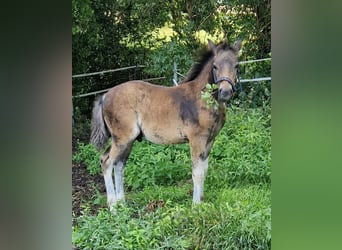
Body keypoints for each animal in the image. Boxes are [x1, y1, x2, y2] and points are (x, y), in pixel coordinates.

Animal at [89, 39, 242, 210]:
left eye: (237, 65)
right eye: (215, 66)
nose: (225, 92)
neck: (203, 98)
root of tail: (105, 96)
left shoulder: (210, 140)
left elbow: (204, 169)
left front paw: (201, 201)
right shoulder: (197, 139)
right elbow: (197, 172)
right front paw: (196, 206)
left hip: (127, 140)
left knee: (118, 165)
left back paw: (122, 203)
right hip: (122, 138)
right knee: (107, 162)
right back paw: (114, 207)